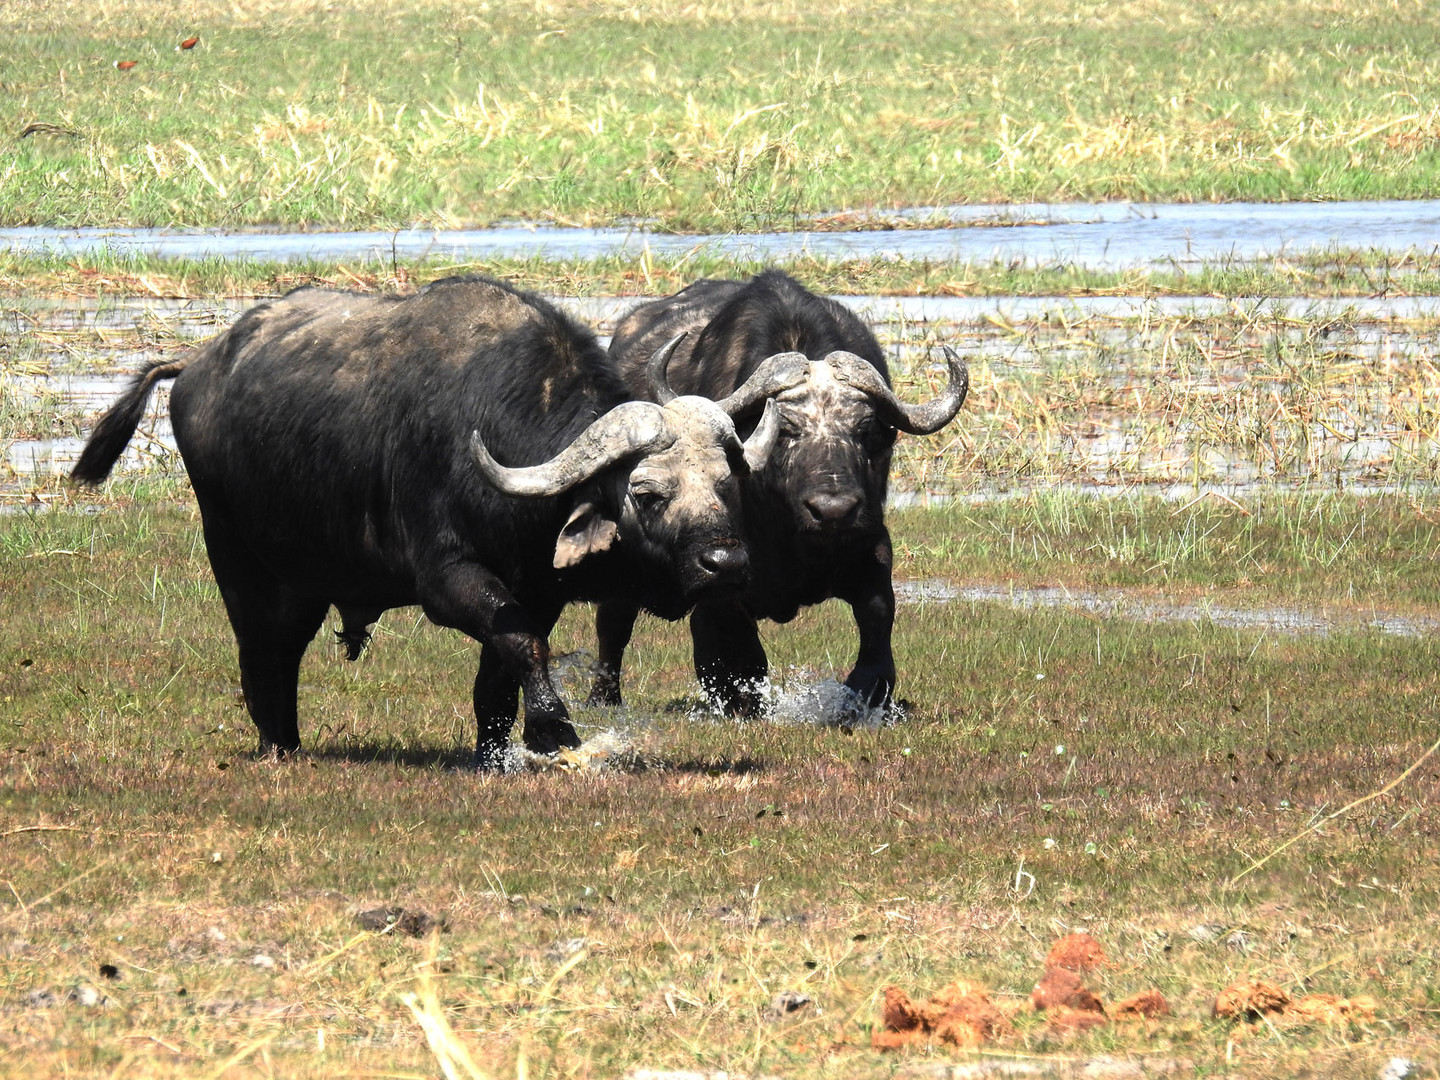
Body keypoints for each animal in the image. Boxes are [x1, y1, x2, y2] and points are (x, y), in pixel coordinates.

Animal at [71, 279, 783, 771]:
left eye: (725, 482)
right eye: (646, 492)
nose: (727, 564)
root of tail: (194, 366)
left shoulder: (536, 590)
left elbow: (501, 667)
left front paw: (496, 751)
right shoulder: (447, 579)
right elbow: (523, 643)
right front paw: (553, 730)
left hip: (305, 582)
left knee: (284, 652)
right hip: (240, 562)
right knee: (260, 654)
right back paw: (278, 747)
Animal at [584, 272, 967, 720]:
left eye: (864, 428)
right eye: (785, 430)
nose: (833, 511)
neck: (789, 535)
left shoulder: (871, 544)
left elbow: (877, 619)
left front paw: (865, 693)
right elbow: (736, 653)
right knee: (613, 627)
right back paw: (602, 699)